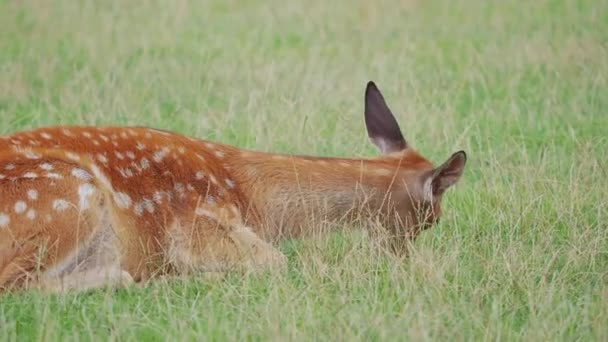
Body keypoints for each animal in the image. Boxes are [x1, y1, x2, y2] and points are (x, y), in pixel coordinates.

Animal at [0, 82, 466, 292]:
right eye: (433, 220)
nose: (409, 261)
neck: (255, 199)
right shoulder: (197, 222)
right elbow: (276, 261)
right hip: (64, 195)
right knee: (18, 285)